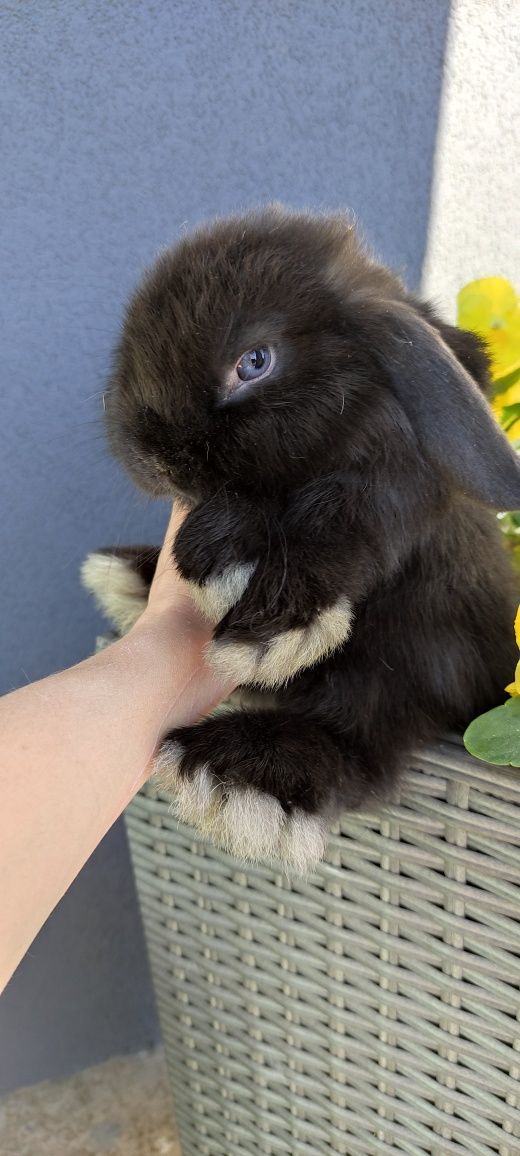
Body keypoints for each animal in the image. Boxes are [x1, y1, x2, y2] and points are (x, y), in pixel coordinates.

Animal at [82, 208, 520, 869]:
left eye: (255, 361)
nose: (154, 458)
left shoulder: (394, 481)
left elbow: (345, 507)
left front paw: (266, 611)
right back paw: (128, 579)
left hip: (414, 657)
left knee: (361, 738)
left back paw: (236, 774)